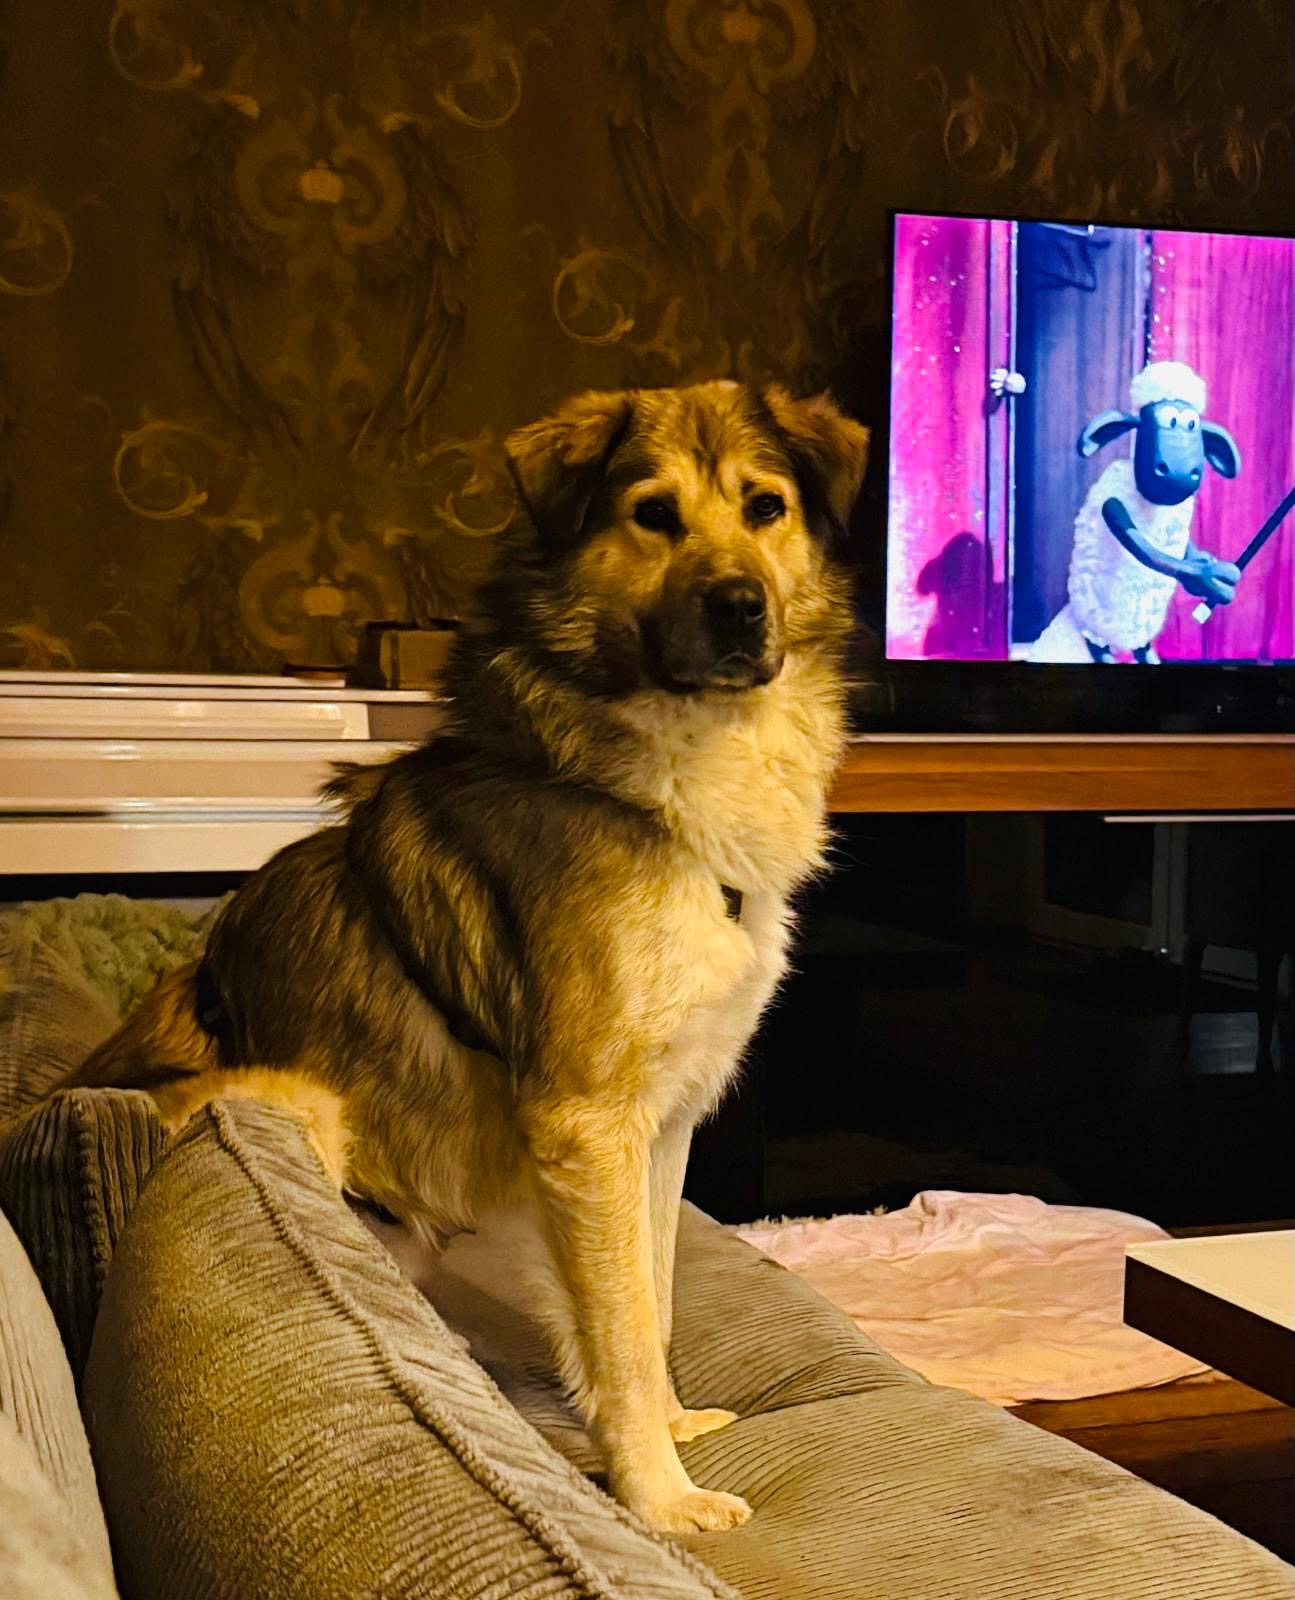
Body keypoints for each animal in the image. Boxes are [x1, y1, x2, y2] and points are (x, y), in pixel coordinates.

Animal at [63, 379, 868, 1533]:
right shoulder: (586, 1123)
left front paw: (668, 1432)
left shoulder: (659, 1124)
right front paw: (656, 1500)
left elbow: (651, 1291)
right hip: (293, 1101)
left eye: (765, 507)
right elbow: (623, 1325)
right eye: (652, 515)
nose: (736, 606)